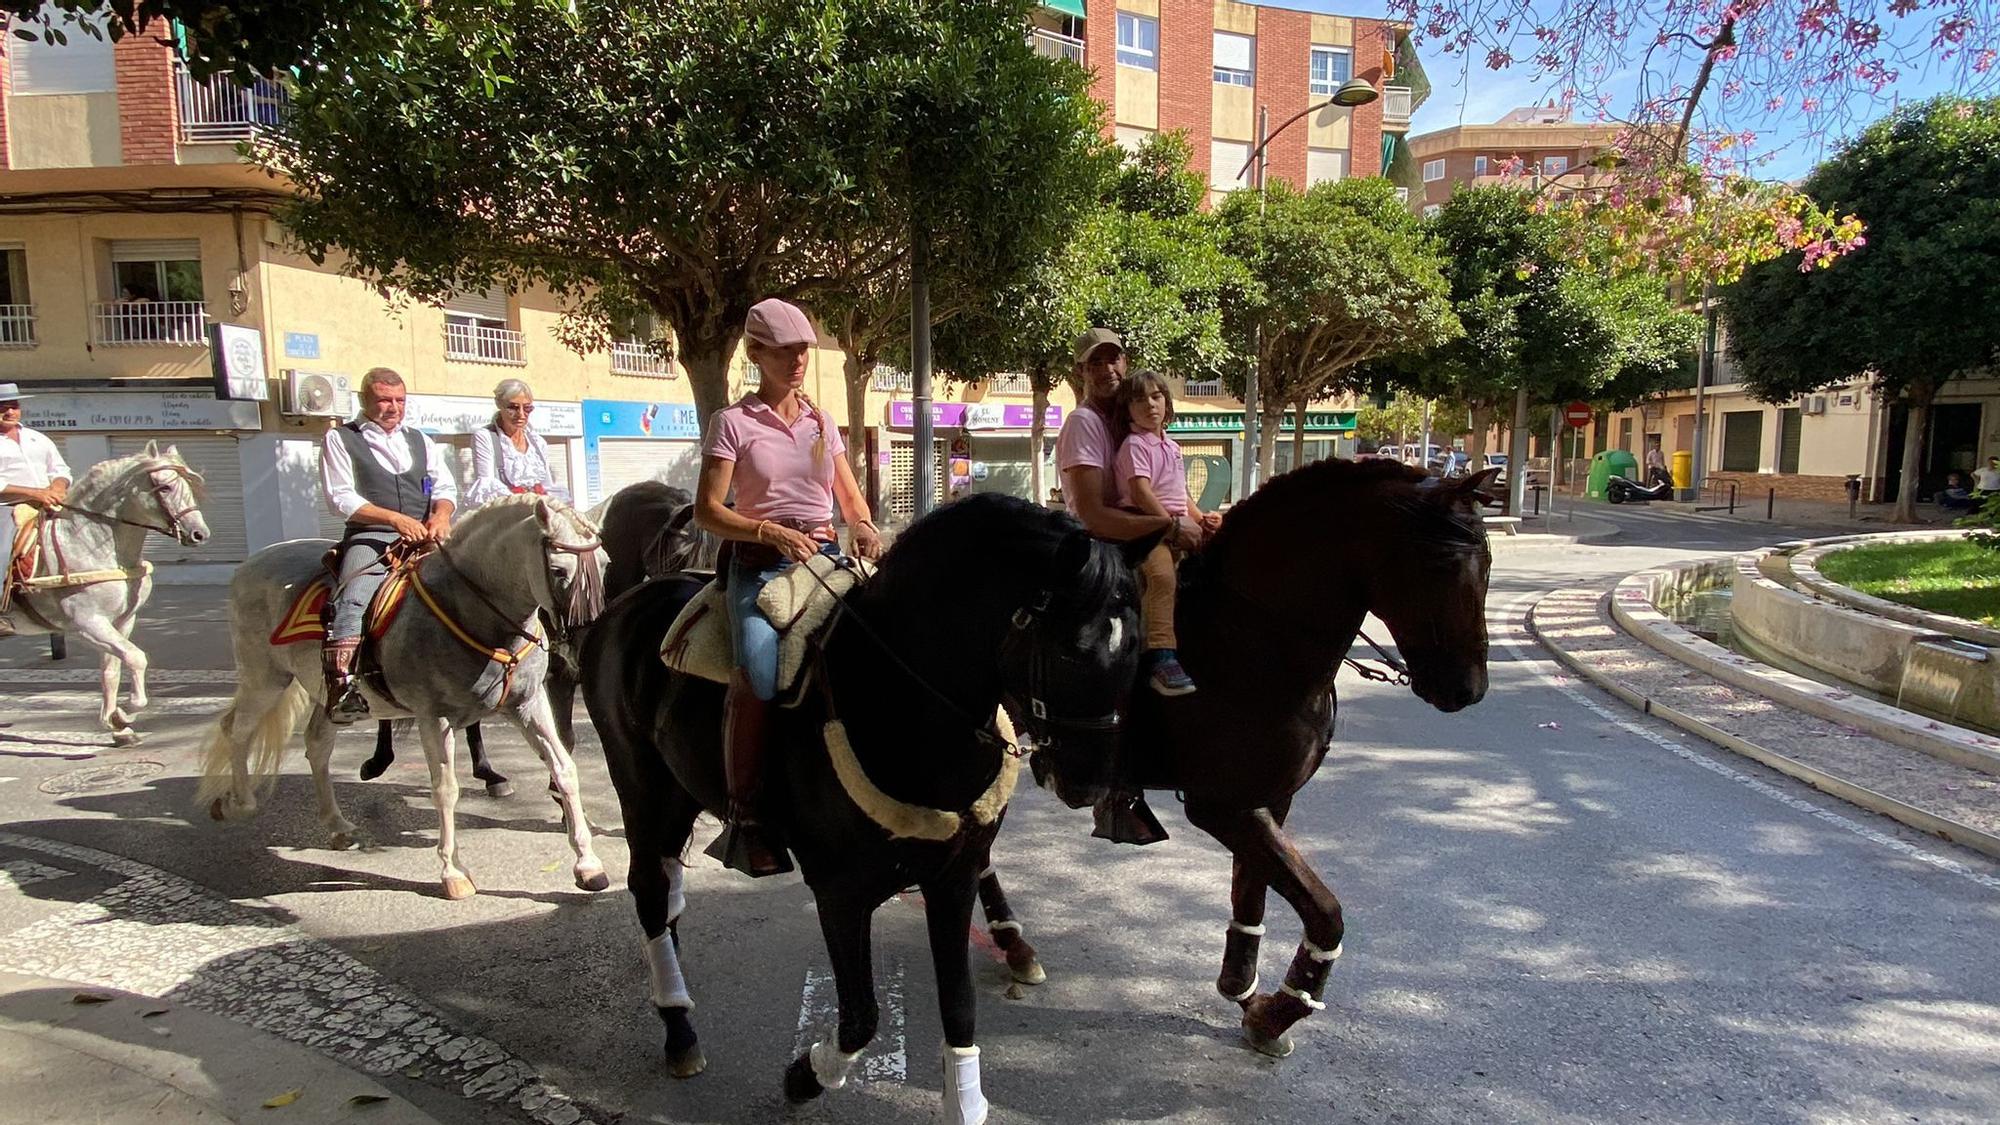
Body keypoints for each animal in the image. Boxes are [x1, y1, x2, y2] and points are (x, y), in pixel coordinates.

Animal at [1, 440, 212, 744]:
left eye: (187, 484)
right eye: (164, 488)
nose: (199, 533)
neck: (86, 543)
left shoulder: (121, 621)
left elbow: (112, 669)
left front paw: (117, 723)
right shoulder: (87, 624)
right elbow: (136, 658)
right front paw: (125, 713)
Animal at [202, 494, 612, 896]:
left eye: (605, 564)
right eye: (558, 571)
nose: (586, 636)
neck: (472, 610)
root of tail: (254, 561)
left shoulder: (528, 704)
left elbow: (564, 769)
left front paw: (588, 864)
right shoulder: (434, 716)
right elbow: (445, 788)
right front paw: (453, 872)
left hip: (324, 694)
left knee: (316, 744)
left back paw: (337, 826)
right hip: (265, 677)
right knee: (237, 730)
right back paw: (238, 803)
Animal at [584, 496, 1160, 1120]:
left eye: (1136, 645)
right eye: (1069, 649)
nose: (1091, 783)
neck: (900, 700)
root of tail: (632, 600)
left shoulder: (953, 876)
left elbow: (958, 1004)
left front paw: (964, 1099)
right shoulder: (840, 892)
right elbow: (861, 1017)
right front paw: (806, 1075)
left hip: (681, 792)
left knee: (667, 885)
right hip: (641, 786)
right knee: (648, 888)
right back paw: (678, 1026)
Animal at [1040, 452, 1496, 1048]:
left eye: (1488, 562)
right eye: (1439, 566)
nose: (1468, 689)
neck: (1251, 638)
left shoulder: (1267, 802)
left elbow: (1252, 892)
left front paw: (1246, 994)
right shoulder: (1221, 807)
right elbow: (1324, 911)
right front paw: (1286, 1004)